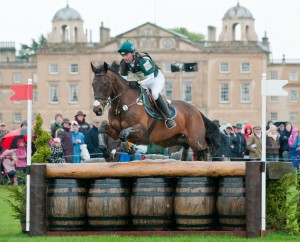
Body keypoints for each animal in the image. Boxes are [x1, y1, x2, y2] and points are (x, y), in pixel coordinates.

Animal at [90, 61, 219, 161]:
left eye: (106, 84)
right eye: (92, 84)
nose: (97, 109)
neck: (121, 106)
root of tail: (196, 110)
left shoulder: (141, 130)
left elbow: (123, 133)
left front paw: (129, 149)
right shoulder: (114, 131)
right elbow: (102, 128)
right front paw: (107, 154)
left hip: (196, 139)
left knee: (205, 149)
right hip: (170, 139)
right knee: (186, 145)